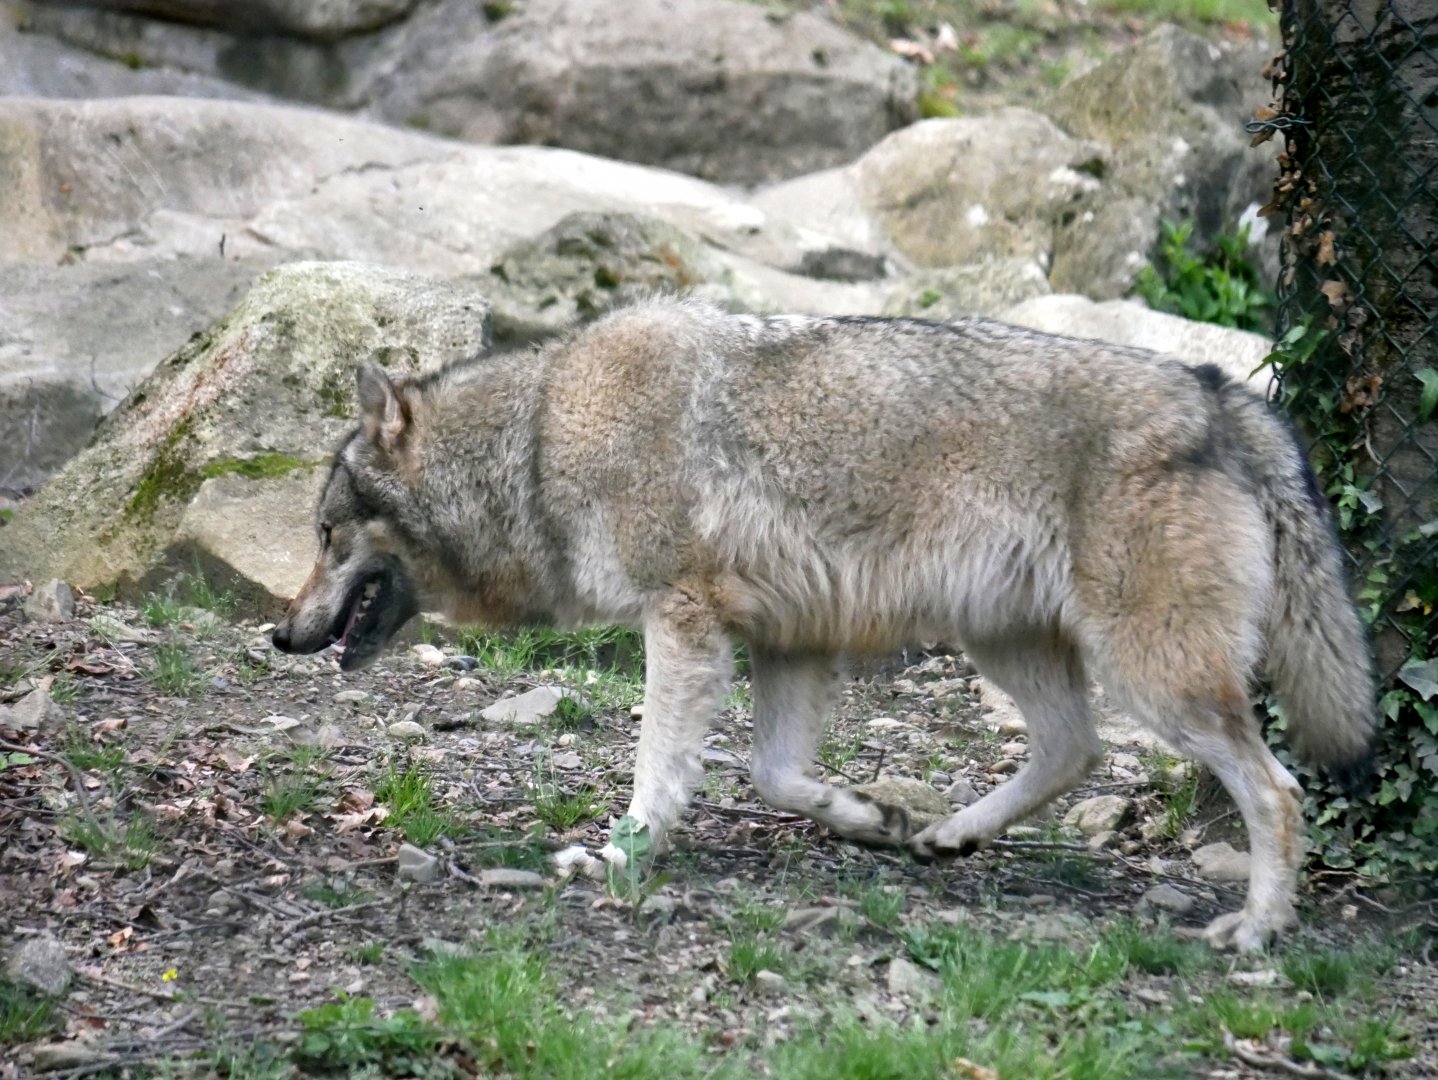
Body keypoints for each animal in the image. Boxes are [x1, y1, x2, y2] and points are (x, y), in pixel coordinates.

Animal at [271, 298, 1375, 951]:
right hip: (1011, 643)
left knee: (1275, 792)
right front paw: (863, 816)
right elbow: (774, 776)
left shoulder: (681, 621)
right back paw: (945, 835)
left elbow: (657, 771)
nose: (280, 636)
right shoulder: (786, 642)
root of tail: (1219, 394)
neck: (539, 440)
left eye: (326, 536)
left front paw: (620, 858)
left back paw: (1254, 934)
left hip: (1153, 678)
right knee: (1076, 752)